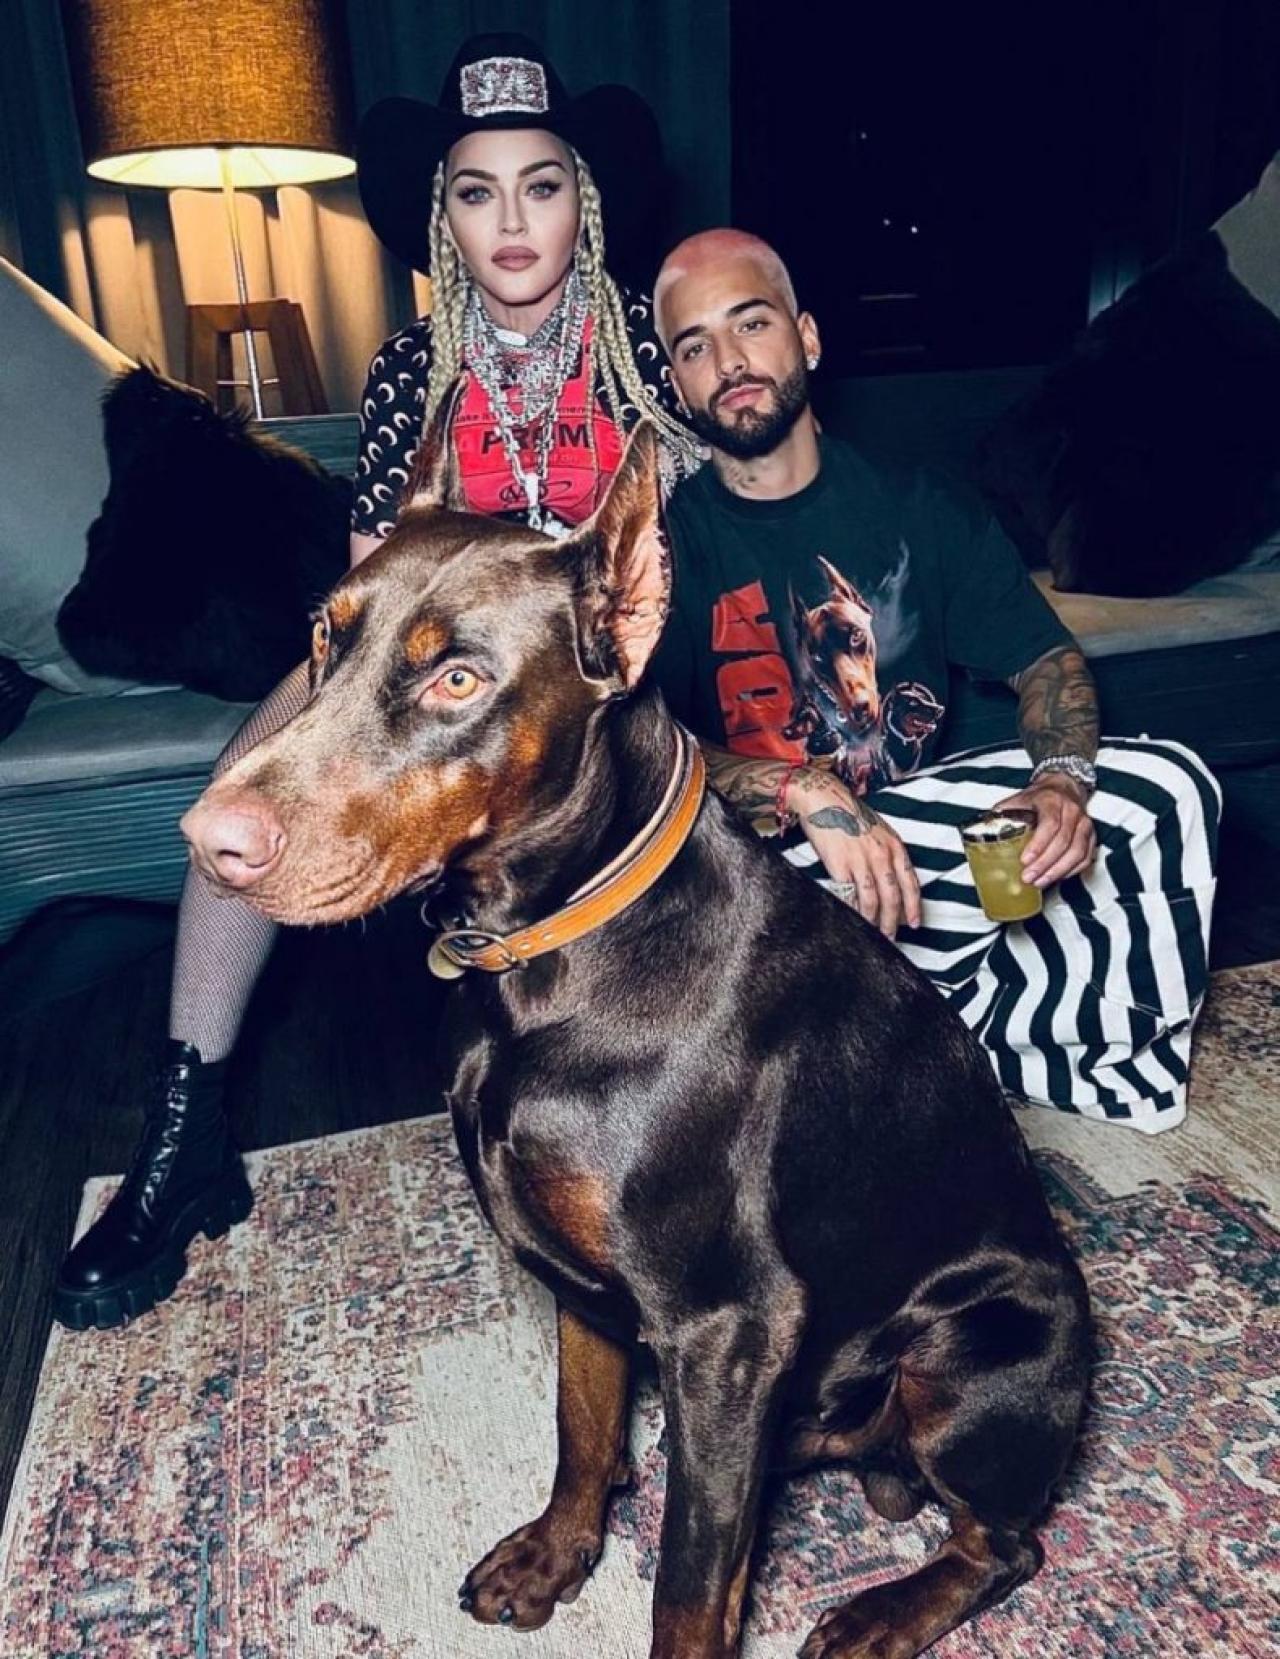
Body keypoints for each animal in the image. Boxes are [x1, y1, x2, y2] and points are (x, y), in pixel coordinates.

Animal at [182, 422, 1090, 1659]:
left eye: (457, 677)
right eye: (327, 635)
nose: (208, 840)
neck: (559, 954)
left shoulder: (726, 1329)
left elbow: (689, 1586)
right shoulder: (580, 1280)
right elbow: (583, 1428)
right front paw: (556, 1553)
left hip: (977, 1350)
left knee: (1002, 1542)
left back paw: (877, 1611)